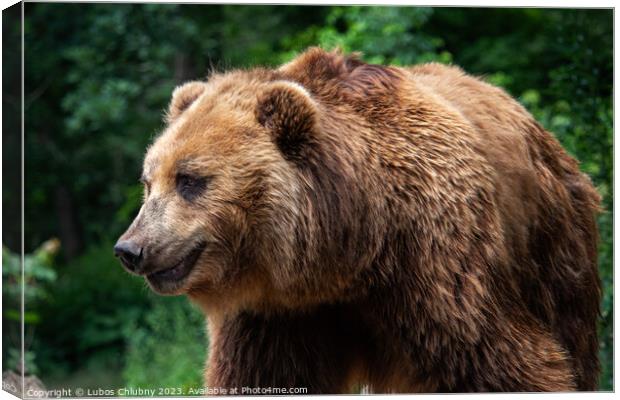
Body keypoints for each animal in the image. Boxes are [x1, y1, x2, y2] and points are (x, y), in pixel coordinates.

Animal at [114, 47, 600, 394]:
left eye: (190, 179)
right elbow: (265, 376)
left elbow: (500, 360)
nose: (130, 249)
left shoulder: (439, 268)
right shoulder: (278, 316)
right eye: (148, 182)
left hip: (551, 248)